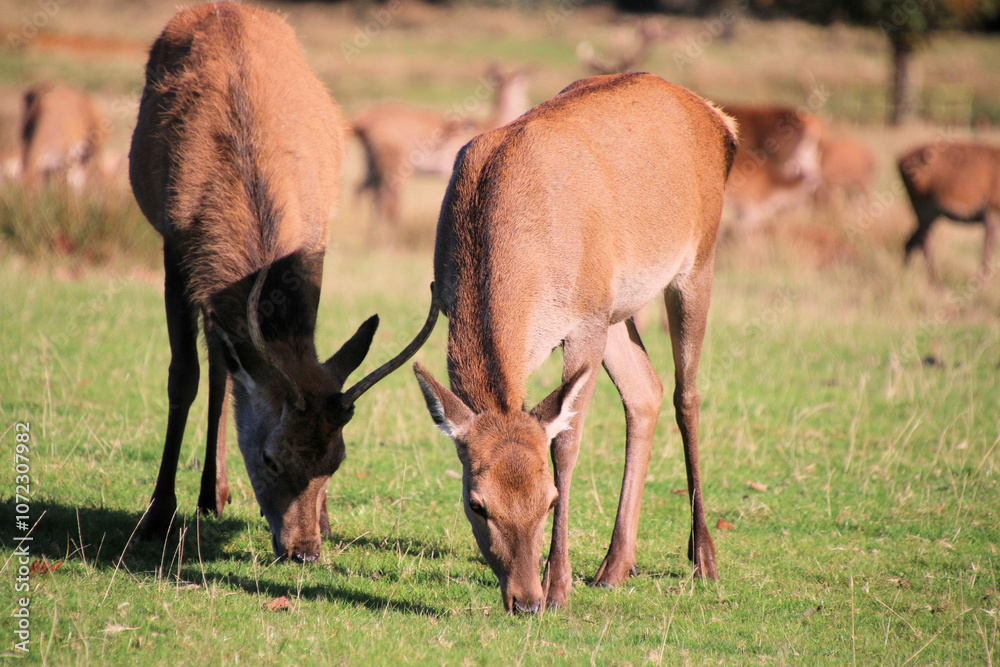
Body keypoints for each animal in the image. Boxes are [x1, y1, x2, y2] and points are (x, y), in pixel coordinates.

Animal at [129, 2, 437, 563]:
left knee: (226, 366)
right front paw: (158, 515)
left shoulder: (315, 247)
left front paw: (330, 520)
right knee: (217, 367)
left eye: (336, 460)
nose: (305, 550)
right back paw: (205, 495)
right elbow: (182, 377)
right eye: (271, 459)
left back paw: (215, 493)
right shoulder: (175, 244)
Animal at [350, 67, 531, 231]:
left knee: (363, 190)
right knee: (386, 200)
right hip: (395, 166)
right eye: (521, 85)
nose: (525, 104)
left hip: (374, 165)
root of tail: (361, 120)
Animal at [412, 72, 737, 613]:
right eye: (476, 504)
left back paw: (703, 557)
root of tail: (720, 119)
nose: (525, 600)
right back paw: (615, 566)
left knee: (685, 395)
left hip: (697, 261)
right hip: (615, 308)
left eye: (549, 499)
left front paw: (559, 585)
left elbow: (566, 443)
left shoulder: (583, 322)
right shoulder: (586, 313)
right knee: (645, 392)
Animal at [898, 141, 1000, 282]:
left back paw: (905, 277)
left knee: (910, 242)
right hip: (924, 208)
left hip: (930, 214)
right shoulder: (991, 212)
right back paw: (936, 283)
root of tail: (900, 160)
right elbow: (987, 260)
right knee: (923, 242)